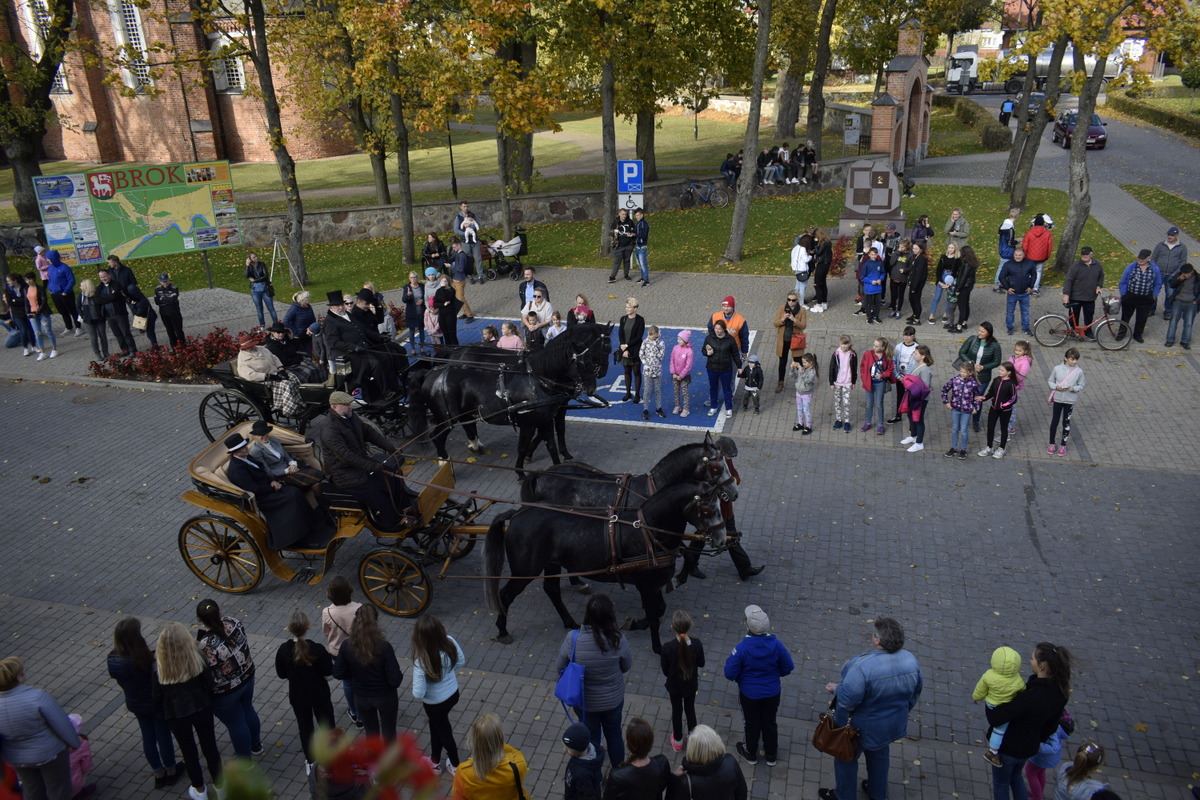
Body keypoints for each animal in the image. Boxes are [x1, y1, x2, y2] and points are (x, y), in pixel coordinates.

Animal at [408, 325, 609, 475]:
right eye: (582, 362)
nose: (592, 387)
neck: (537, 380)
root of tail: (430, 374)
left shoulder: (548, 416)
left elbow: (550, 443)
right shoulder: (531, 421)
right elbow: (527, 444)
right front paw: (521, 470)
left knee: (465, 424)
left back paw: (474, 444)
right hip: (446, 418)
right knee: (437, 437)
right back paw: (445, 463)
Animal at [484, 480, 726, 653]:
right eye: (708, 510)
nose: (722, 539)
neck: (649, 530)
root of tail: (517, 513)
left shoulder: (654, 585)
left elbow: (659, 610)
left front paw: (635, 623)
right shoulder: (647, 586)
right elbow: (655, 615)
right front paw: (656, 646)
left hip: (551, 564)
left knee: (551, 590)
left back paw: (569, 622)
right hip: (525, 571)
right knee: (505, 596)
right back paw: (502, 629)